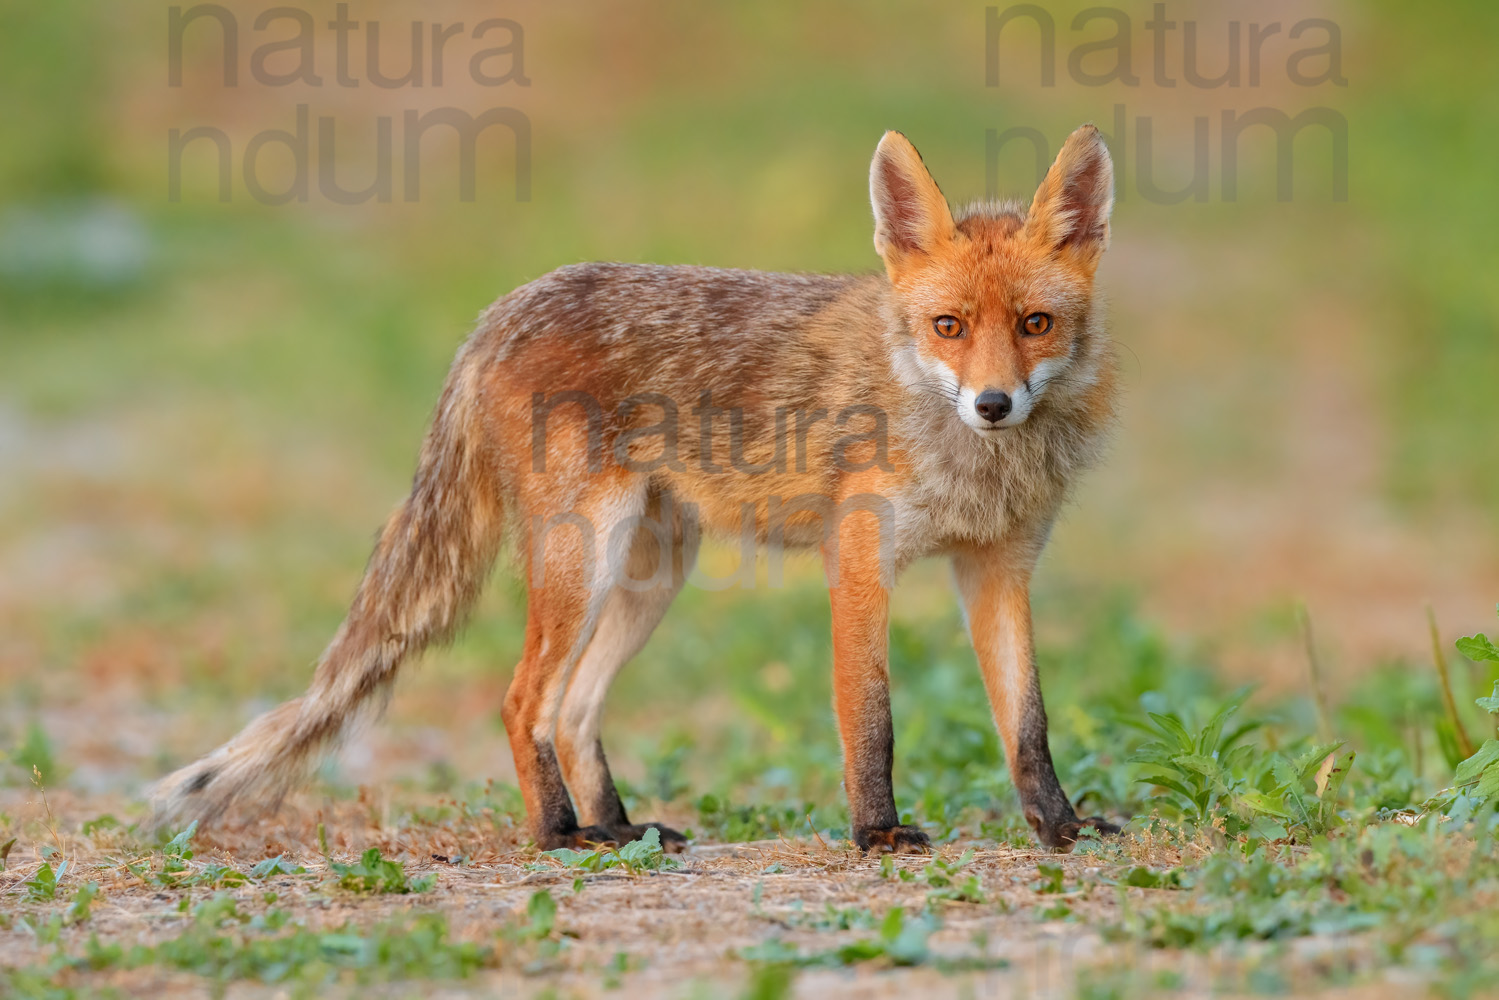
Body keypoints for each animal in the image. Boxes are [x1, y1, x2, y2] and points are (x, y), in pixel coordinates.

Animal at [149, 122, 1127, 851]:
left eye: (1035, 324)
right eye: (947, 326)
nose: (993, 404)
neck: (970, 464)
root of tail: (499, 311)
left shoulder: (997, 568)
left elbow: (1027, 721)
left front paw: (1060, 825)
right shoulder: (858, 564)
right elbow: (870, 720)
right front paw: (877, 834)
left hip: (652, 571)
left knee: (575, 709)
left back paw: (615, 827)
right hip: (583, 558)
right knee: (524, 701)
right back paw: (558, 835)